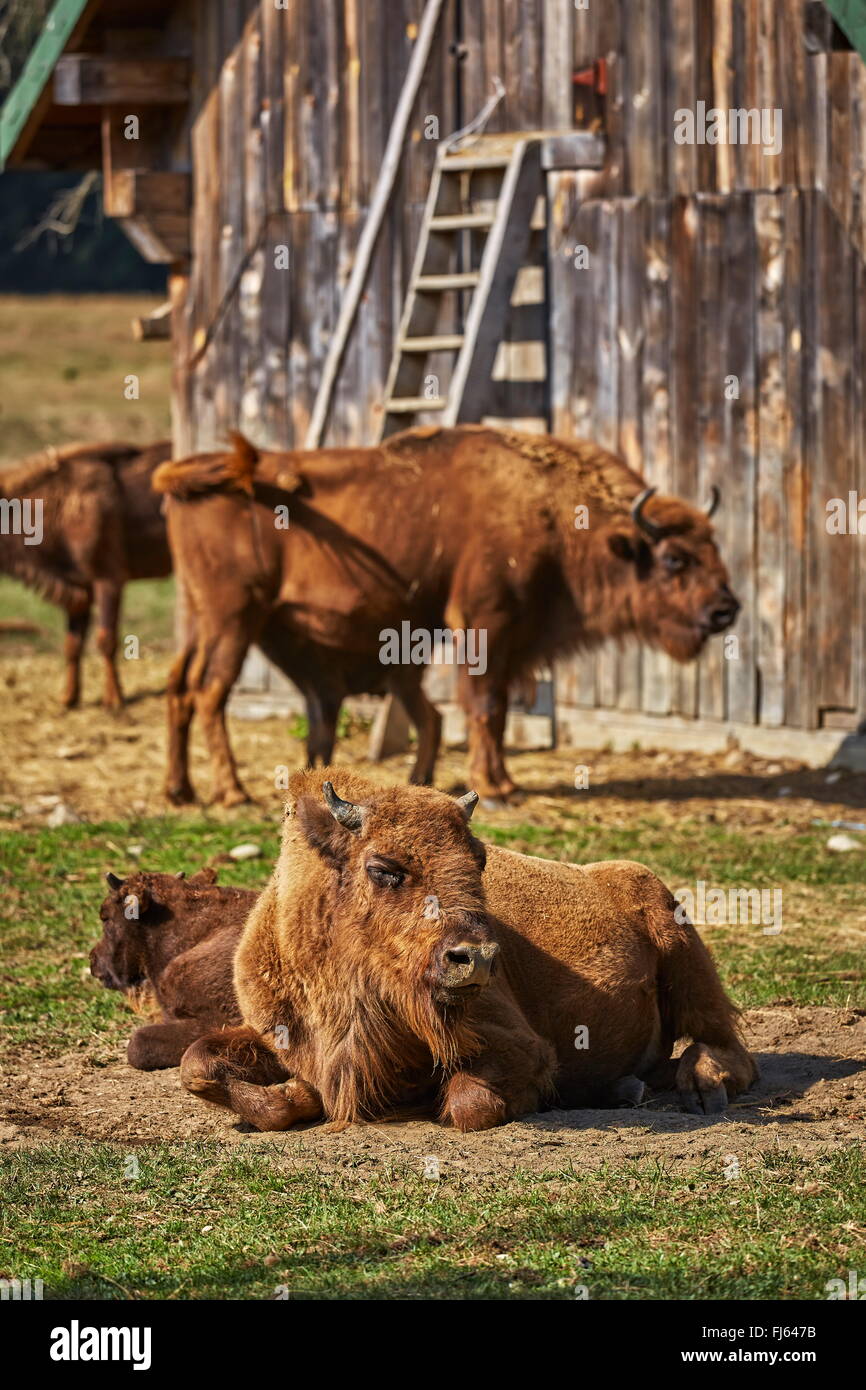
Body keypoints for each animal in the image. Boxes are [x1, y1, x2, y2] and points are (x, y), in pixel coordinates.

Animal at [0, 442, 173, 711]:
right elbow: (72, 644)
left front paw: (114, 698)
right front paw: (68, 698)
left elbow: (106, 640)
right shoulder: (78, 589)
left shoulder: (108, 580)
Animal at [155, 422, 739, 806]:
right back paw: (231, 792)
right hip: (234, 616)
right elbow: (484, 705)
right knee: (210, 691)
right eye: (674, 558)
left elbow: (492, 710)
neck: (546, 510)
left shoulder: (511, 638)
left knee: (180, 685)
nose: (726, 610)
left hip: (203, 618)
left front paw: (500, 782)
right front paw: (496, 786)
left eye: (715, 546)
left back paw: (181, 790)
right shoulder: (485, 623)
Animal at [179, 772, 756, 1128]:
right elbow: (196, 1064)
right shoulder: (267, 1031)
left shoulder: (518, 1044)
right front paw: (295, 1094)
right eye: (383, 868)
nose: (475, 960)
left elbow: (469, 1103)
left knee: (726, 1043)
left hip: (682, 948)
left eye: (479, 859)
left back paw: (701, 1087)